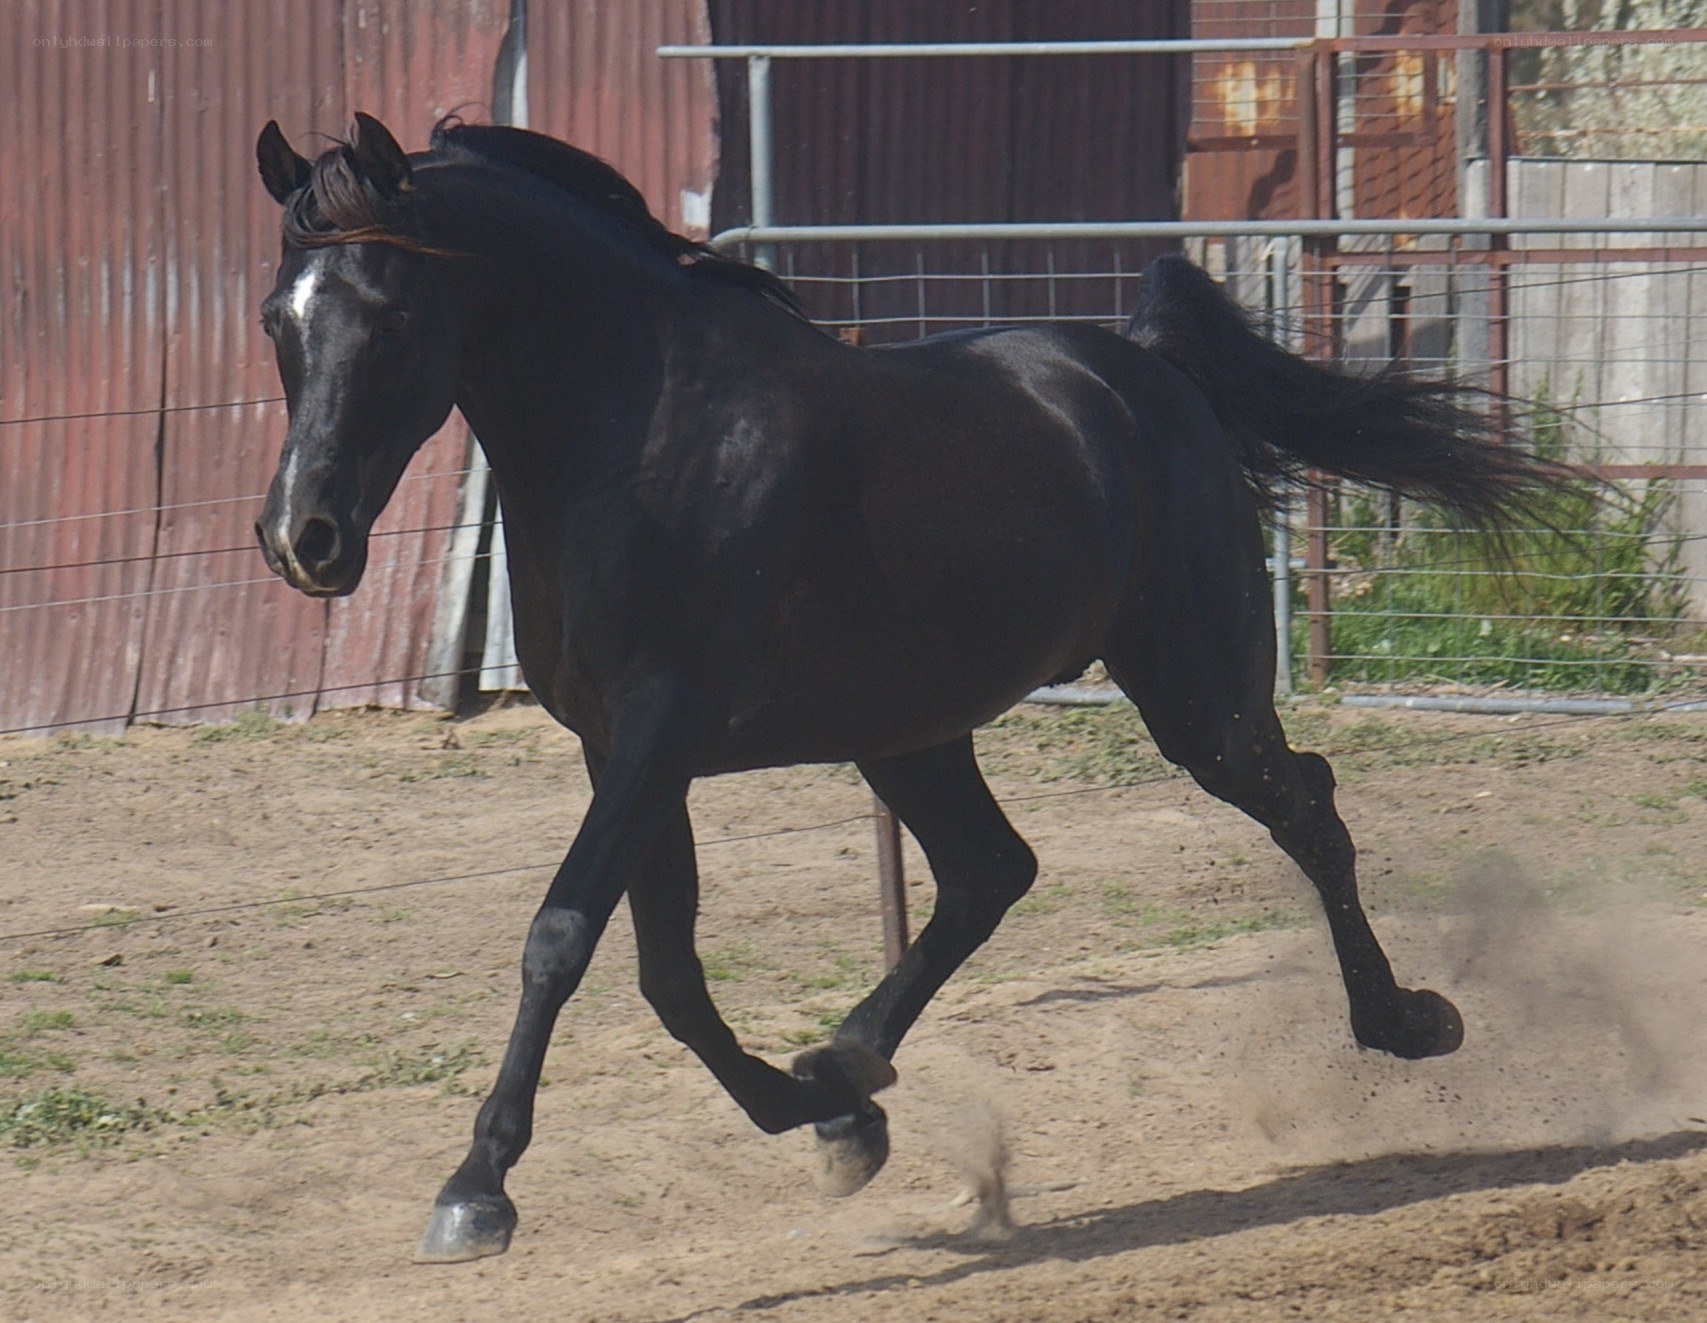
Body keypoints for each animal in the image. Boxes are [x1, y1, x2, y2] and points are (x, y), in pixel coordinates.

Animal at [253, 113, 1565, 1263]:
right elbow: (668, 973)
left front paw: (475, 1190)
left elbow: (563, 935)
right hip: (911, 729)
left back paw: (1408, 1023)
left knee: (1306, 809)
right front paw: (831, 1121)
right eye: (280, 317)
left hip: (1197, 701)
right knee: (993, 870)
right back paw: (846, 1066)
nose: (304, 539)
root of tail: (1143, 368)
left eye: (391, 311)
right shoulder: (617, 745)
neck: (641, 438)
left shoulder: (661, 730)